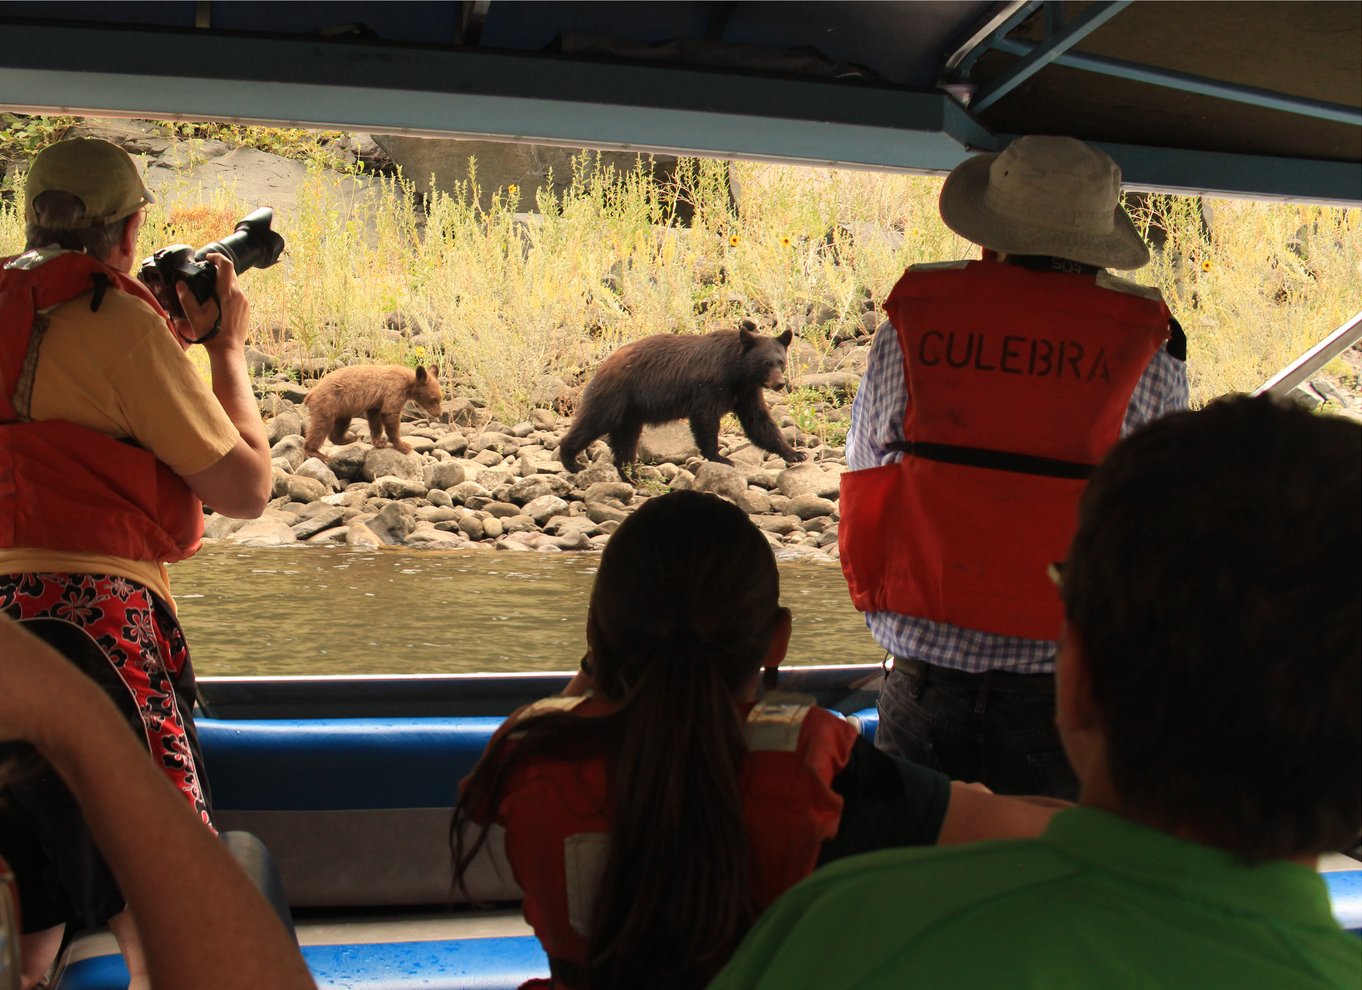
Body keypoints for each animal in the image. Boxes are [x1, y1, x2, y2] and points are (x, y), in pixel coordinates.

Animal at [555, 322, 800, 473]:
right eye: (766, 363)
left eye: (781, 361)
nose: (780, 383)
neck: (737, 372)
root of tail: (604, 364)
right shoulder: (710, 385)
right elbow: (705, 418)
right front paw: (719, 456)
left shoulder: (746, 392)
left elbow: (758, 422)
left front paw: (794, 453)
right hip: (616, 395)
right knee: (594, 421)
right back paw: (571, 460)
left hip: (630, 410)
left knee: (625, 439)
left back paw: (631, 474)